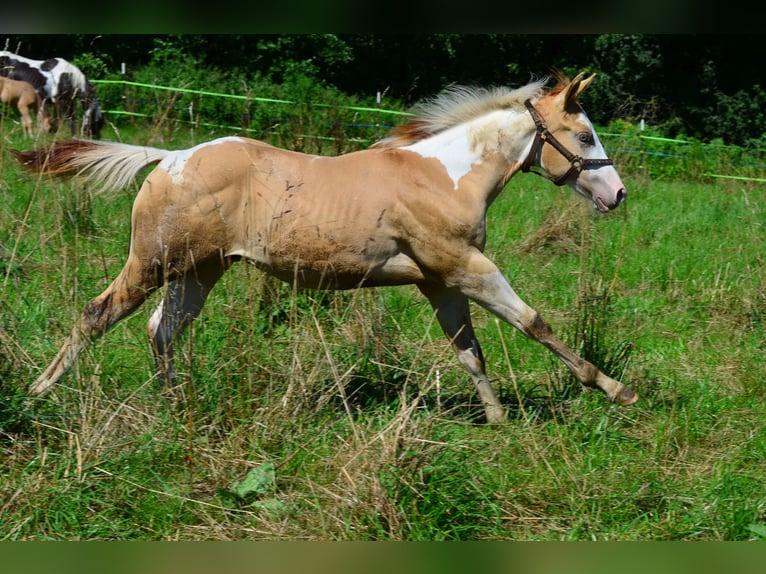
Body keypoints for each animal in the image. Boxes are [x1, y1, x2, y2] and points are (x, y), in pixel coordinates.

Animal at [12, 71, 637, 424]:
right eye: (585, 136)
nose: (618, 194)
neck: (445, 175)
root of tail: (169, 158)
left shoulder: (439, 281)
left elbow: (469, 351)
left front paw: (498, 420)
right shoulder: (466, 266)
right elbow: (534, 323)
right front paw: (614, 389)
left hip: (199, 271)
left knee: (162, 330)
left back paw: (174, 407)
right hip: (153, 262)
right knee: (97, 315)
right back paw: (38, 393)